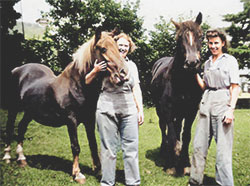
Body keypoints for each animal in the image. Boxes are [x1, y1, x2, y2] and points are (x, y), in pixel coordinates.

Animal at [1, 28, 127, 184]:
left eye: (118, 48)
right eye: (103, 49)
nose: (122, 75)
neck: (77, 86)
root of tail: (17, 69)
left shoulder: (89, 120)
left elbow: (93, 144)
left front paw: (98, 171)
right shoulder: (71, 121)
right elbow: (76, 146)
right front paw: (77, 174)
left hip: (30, 112)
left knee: (21, 127)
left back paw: (21, 159)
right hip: (13, 108)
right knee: (10, 128)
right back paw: (7, 157)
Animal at [150, 12, 203, 176]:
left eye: (201, 35)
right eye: (179, 38)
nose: (192, 63)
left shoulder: (191, 111)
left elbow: (186, 135)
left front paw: (185, 163)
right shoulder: (167, 110)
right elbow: (171, 134)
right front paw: (172, 165)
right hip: (160, 110)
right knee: (163, 128)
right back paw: (164, 151)